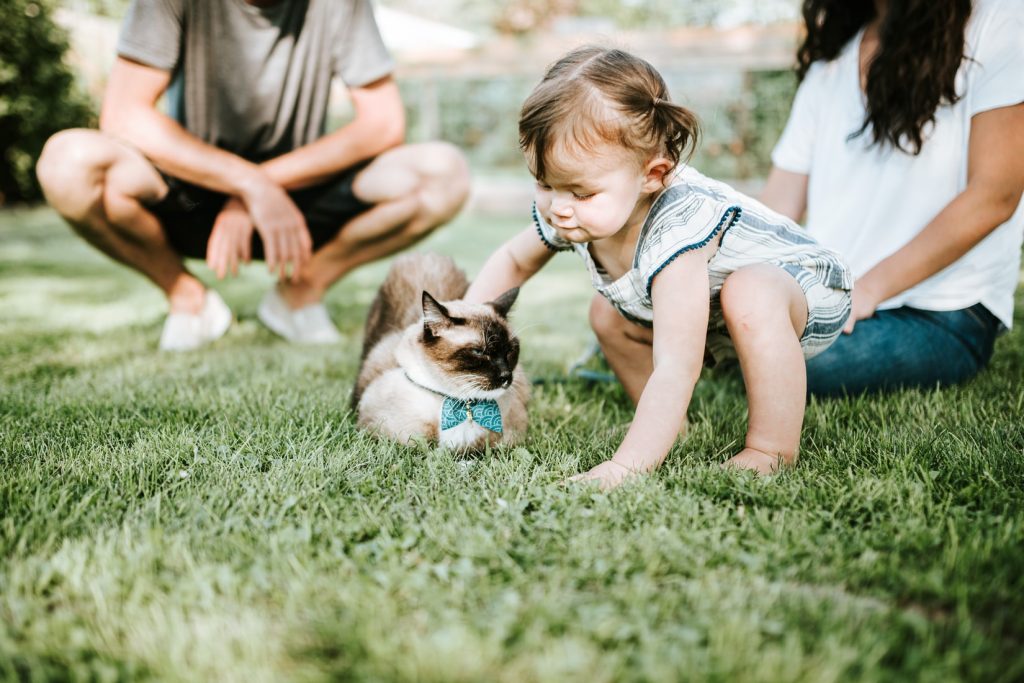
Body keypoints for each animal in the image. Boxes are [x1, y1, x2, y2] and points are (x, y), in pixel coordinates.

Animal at [354, 253, 532, 450]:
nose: (506, 375)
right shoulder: (389, 436)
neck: (463, 405)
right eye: (479, 352)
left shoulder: (510, 439)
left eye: (510, 350)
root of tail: (425, 255)